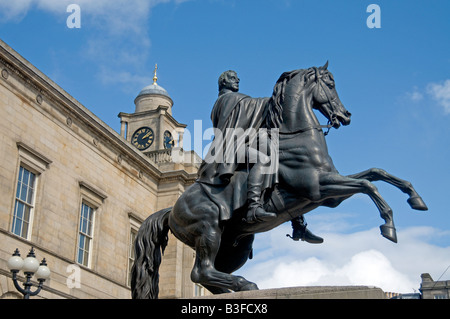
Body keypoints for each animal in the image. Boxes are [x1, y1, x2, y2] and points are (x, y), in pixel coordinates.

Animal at [131, 63, 428, 300]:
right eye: (330, 84)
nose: (346, 116)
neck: (297, 137)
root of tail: (170, 210)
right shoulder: (320, 188)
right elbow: (370, 185)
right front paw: (389, 226)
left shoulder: (331, 191)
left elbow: (376, 172)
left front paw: (415, 198)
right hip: (208, 230)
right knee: (200, 272)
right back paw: (246, 282)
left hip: (233, 247)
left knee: (210, 275)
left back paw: (241, 285)